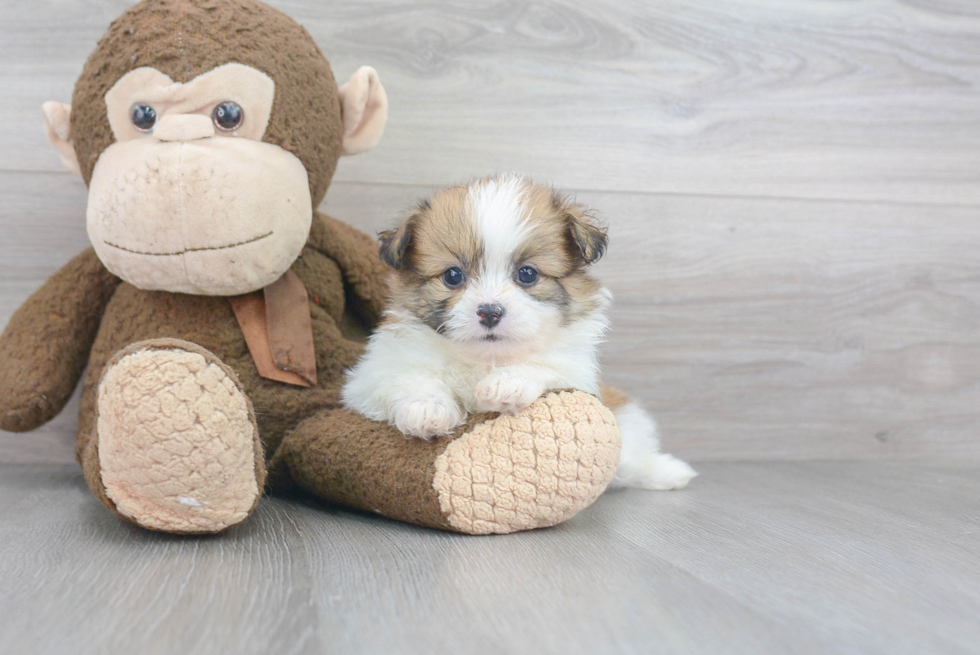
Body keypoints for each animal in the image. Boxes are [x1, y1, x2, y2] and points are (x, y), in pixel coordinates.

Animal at [344, 174, 696, 492]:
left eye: (527, 274)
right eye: (453, 276)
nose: (489, 311)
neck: (485, 359)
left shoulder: (576, 374)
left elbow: (542, 366)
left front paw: (506, 384)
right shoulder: (369, 377)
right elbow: (408, 376)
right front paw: (426, 408)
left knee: (631, 462)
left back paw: (667, 471)